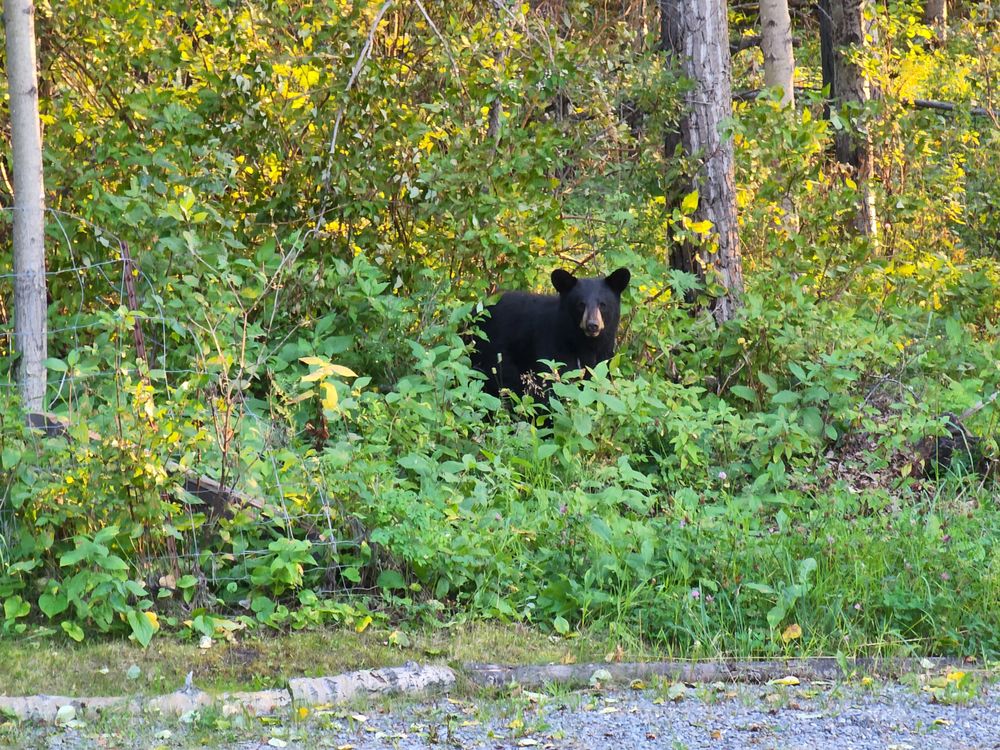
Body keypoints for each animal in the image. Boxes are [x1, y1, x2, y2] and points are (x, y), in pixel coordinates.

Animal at [471, 267, 631, 399]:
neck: (584, 343)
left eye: (603, 304)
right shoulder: (551, 350)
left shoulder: (603, 359)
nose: (592, 325)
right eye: (580, 304)